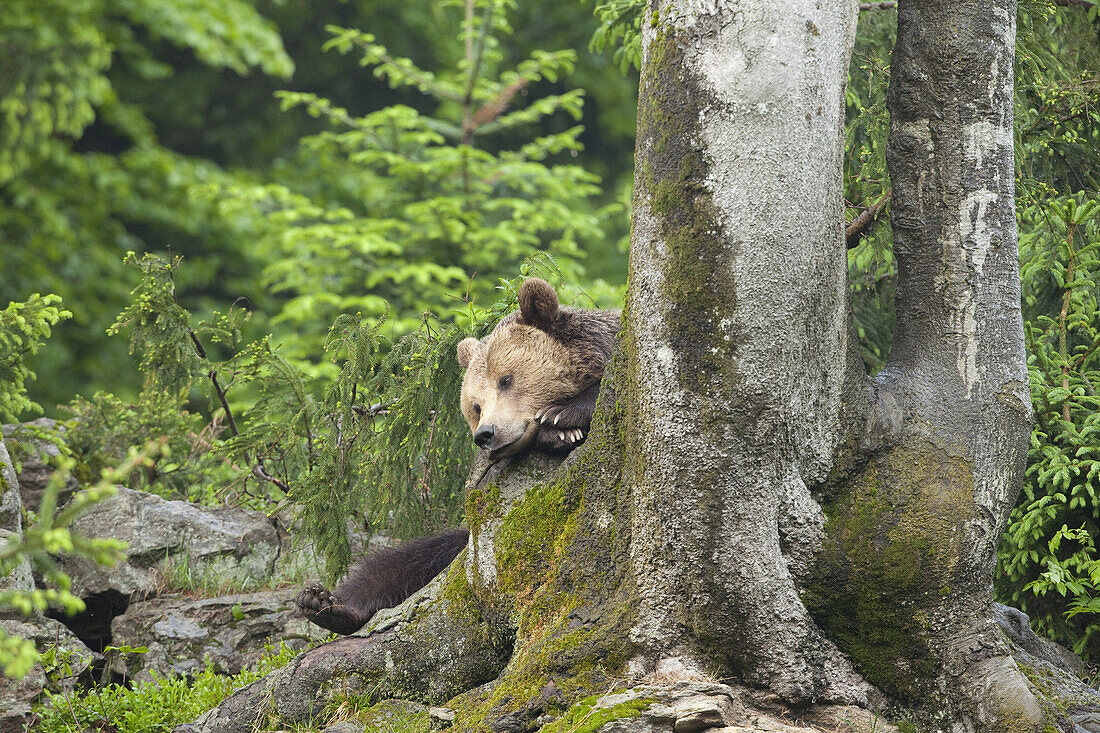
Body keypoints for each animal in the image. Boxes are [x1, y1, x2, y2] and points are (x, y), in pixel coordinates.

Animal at [294, 277, 620, 629]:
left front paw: (561, 418)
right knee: (406, 561)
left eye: (506, 379)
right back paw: (325, 602)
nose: (485, 434)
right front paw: (558, 431)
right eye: (475, 406)